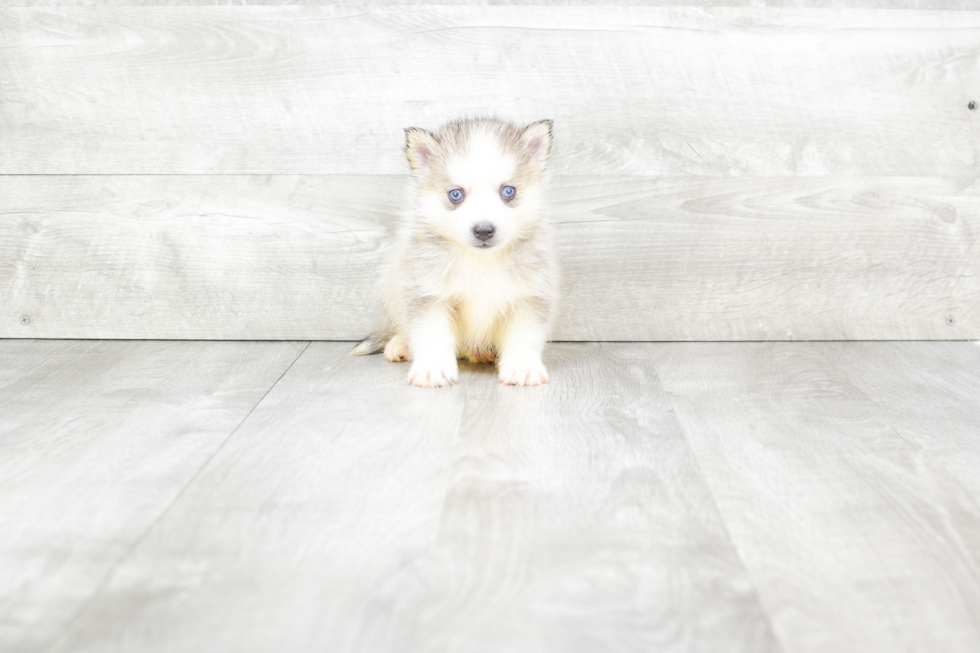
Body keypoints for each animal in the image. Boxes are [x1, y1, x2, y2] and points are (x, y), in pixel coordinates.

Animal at [352, 116, 556, 388]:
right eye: (456, 194)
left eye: (508, 191)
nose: (483, 230)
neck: (481, 262)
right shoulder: (430, 295)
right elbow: (431, 334)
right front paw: (433, 368)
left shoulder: (529, 296)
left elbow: (525, 335)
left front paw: (522, 366)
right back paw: (400, 344)